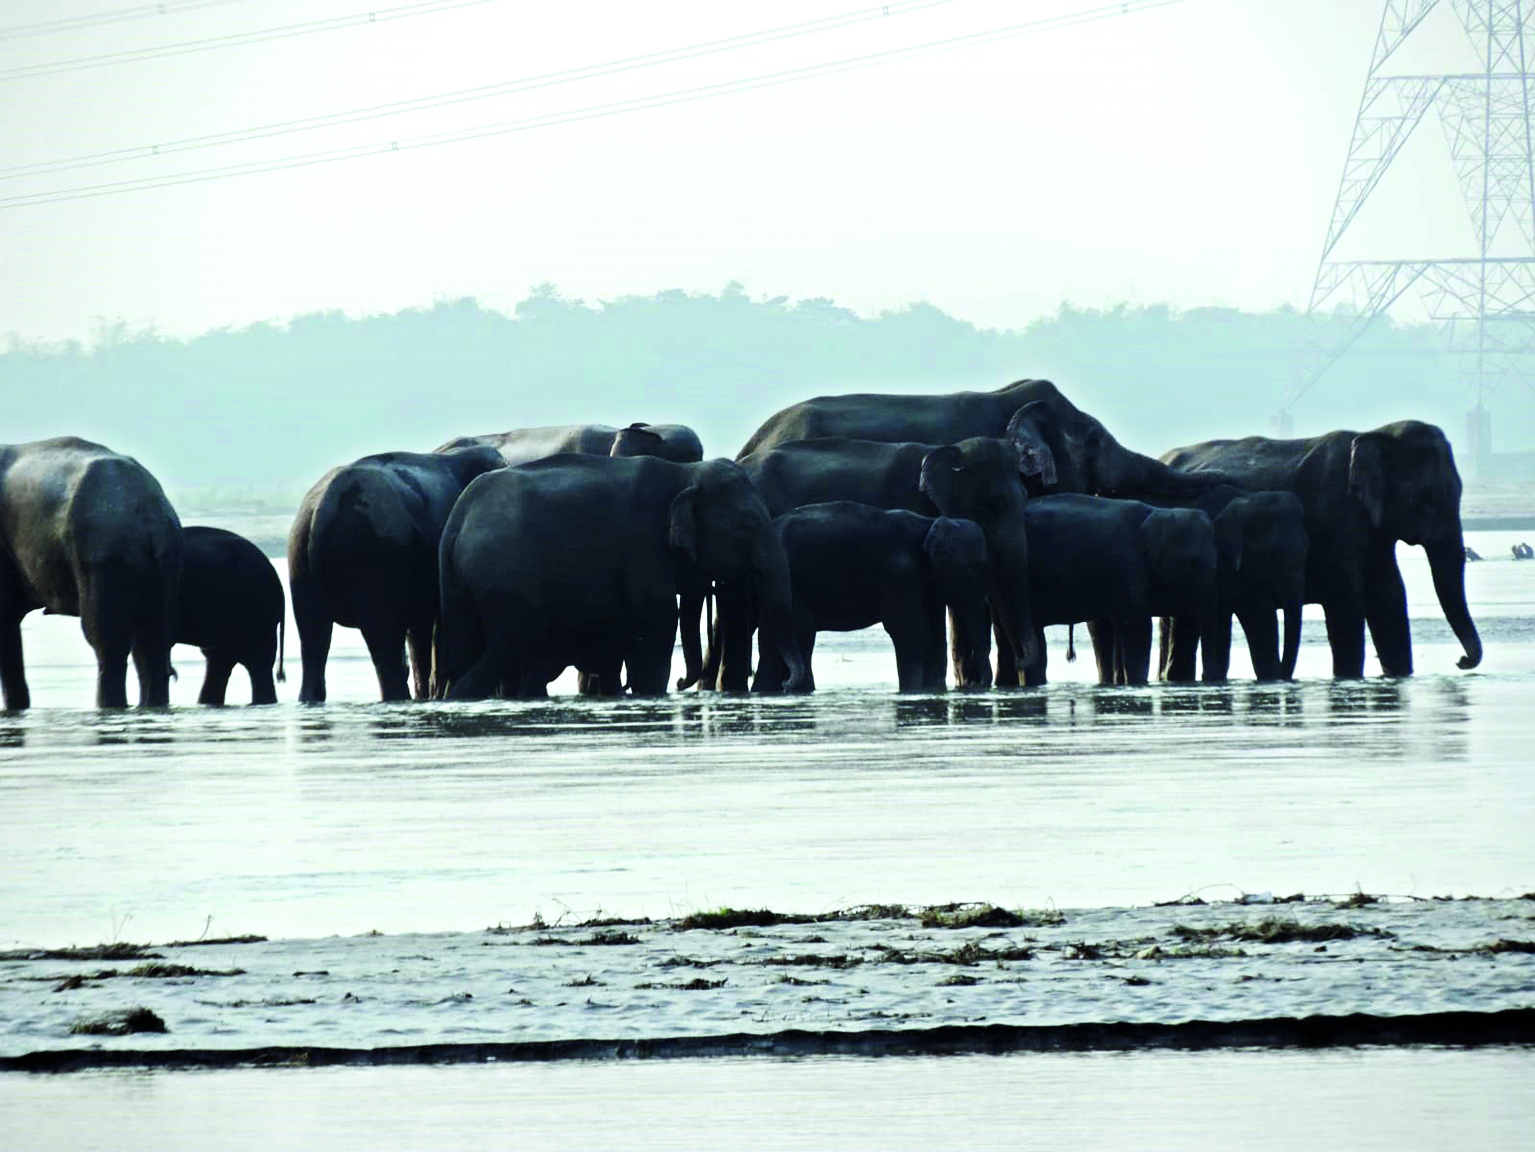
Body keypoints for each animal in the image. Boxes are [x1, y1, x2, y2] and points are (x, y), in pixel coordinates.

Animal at [437, 455, 808, 698]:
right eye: (746, 527)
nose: (788, 685)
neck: (684, 473)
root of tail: (456, 519)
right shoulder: (643, 542)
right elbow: (658, 615)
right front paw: (651, 692)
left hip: (461, 585)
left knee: (469, 647)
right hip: (504, 573)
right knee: (516, 635)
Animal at [752, 503, 994, 693]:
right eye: (975, 572)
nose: (976, 684)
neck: (928, 523)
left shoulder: (924, 584)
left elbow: (933, 634)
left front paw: (931, 690)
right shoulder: (898, 574)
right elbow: (907, 630)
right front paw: (912, 690)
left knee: (772, 642)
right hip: (792, 584)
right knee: (801, 633)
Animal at [1011, 495, 1224, 687]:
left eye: (1217, 562)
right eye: (1191, 565)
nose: (1208, 677)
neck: (1156, 511)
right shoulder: (1128, 567)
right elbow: (1137, 626)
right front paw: (1137, 682)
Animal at [1149, 488, 1309, 682]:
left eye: (1306, 549)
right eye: (1273, 555)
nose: (1283, 676)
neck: (1248, 499)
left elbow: (1258, 615)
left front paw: (1269, 676)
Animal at [1161, 420, 1482, 677]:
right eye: (1428, 499)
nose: (1461, 661)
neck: (1375, 433)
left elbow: (1389, 593)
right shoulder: (1336, 519)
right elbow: (1346, 599)